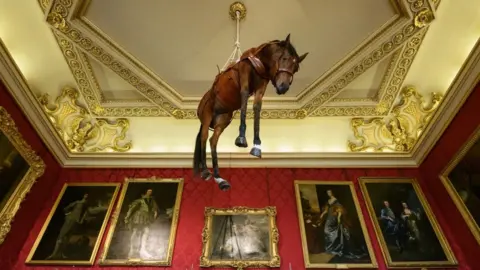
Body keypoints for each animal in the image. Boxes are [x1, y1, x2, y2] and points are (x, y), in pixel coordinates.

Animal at [192, 34, 308, 190]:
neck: (258, 60)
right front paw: (241, 138)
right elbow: (245, 98)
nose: (283, 87)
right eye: (284, 58)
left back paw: (219, 179)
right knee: (204, 137)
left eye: (296, 68)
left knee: (213, 140)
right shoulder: (244, 77)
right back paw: (205, 171)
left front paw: (256, 146)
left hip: (223, 120)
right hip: (206, 116)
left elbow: (257, 107)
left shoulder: (261, 86)